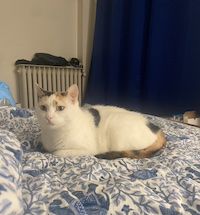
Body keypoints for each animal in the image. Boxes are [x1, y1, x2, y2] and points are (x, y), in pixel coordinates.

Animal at [35, 85, 166, 159]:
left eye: (60, 108)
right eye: (43, 108)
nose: (49, 117)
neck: (54, 134)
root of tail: (156, 128)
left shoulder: (87, 149)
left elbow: (56, 153)